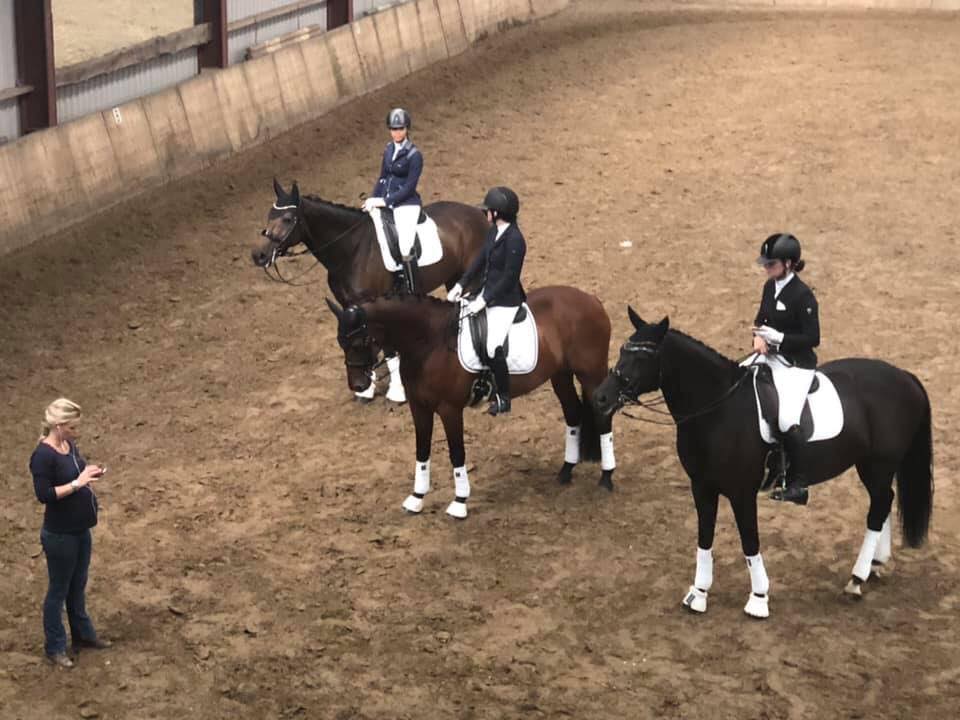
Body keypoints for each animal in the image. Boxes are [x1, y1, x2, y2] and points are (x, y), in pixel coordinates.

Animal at [251, 180, 488, 402]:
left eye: (288, 219)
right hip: (453, 278)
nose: (258, 255)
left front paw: (396, 392)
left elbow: (388, 348)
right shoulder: (349, 304)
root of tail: (477, 213)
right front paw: (366, 389)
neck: (352, 250)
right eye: (269, 215)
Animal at [325, 289, 617, 518]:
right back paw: (566, 471)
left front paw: (460, 502)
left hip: (591, 374)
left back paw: (606, 477)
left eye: (361, 341)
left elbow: (457, 453)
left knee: (602, 417)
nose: (358, 385)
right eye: (341, 342)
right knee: (573, 414)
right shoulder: (419, 407)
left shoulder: (449, 409)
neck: (429, 342)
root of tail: (592, 300)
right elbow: (422, 451)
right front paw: (416, 498)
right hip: (560, 375)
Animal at [592, 308, 933, 619]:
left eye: (643, 358)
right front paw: (698, 593)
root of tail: (904, 376)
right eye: (622, 350)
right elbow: (704, 537)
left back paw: (857, 578)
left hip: (877, 464)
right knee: (884, 501)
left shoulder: (742, 492)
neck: (718, 410)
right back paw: (875, 564)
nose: (601, 398)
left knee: (879, 505)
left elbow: (749, 541)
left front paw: (758, 598)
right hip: (876, 466)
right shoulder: (702, 487)